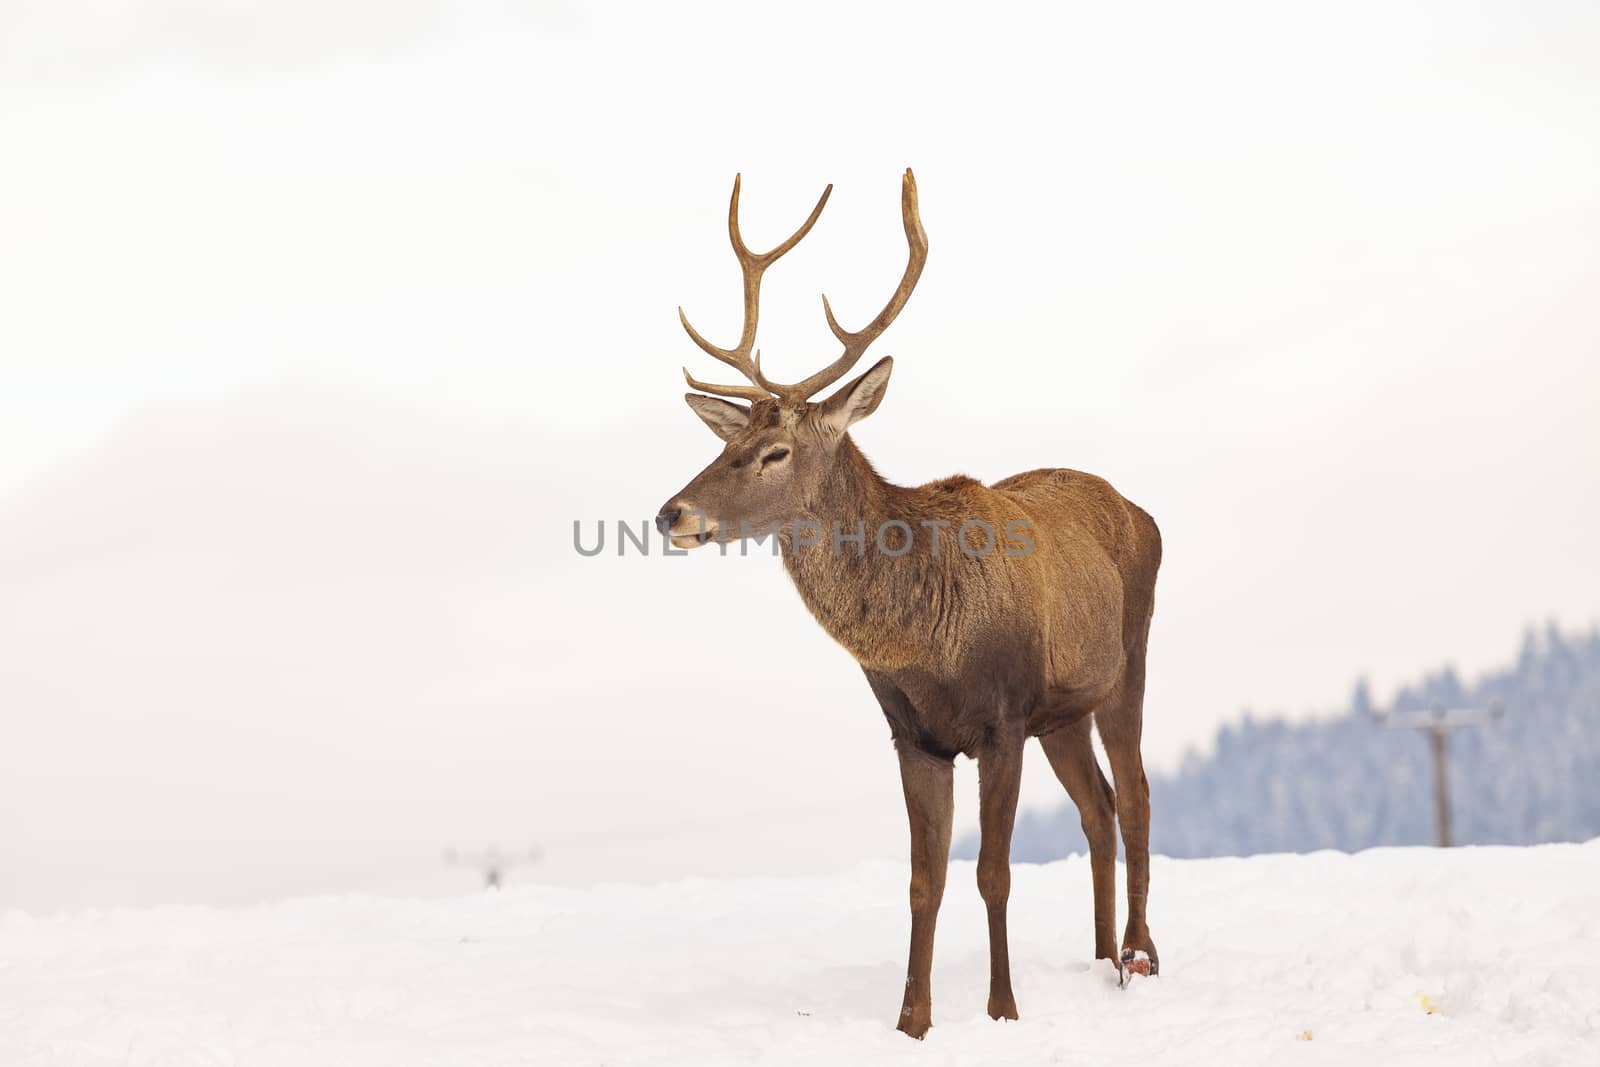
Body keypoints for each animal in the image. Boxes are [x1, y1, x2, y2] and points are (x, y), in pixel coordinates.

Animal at [652, 171, 1164, 1036]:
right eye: (724, 442)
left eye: (775, 450)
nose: (671, 514)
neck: (926, 644)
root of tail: (1143, 510)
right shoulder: (914, 734)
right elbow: (925, 879)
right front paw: (912, 1020)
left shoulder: (1002, 719)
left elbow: (993, 871)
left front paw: (1002, 1009)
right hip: (1063, 712)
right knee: (1096, 807)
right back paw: (1100, 959)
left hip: (1128, 660)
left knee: (1134, 797)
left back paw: (1141, 954)